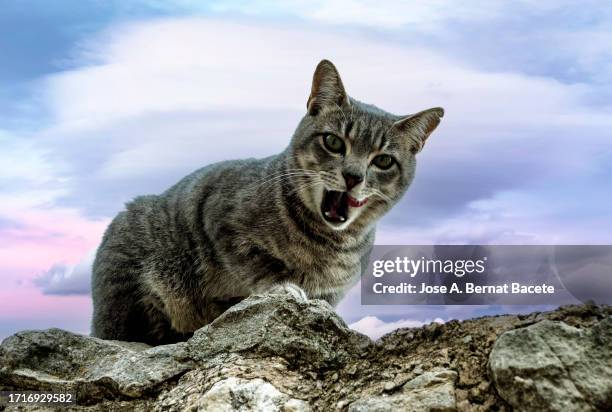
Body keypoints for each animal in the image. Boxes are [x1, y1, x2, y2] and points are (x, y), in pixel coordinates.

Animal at [91, 60, 442, 344]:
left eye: (383, 161)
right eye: (333, 142)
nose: (353, 175)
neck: (328, 244)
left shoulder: (332, 292)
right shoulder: (221, 222)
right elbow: (258, 267)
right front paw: (283, 287)